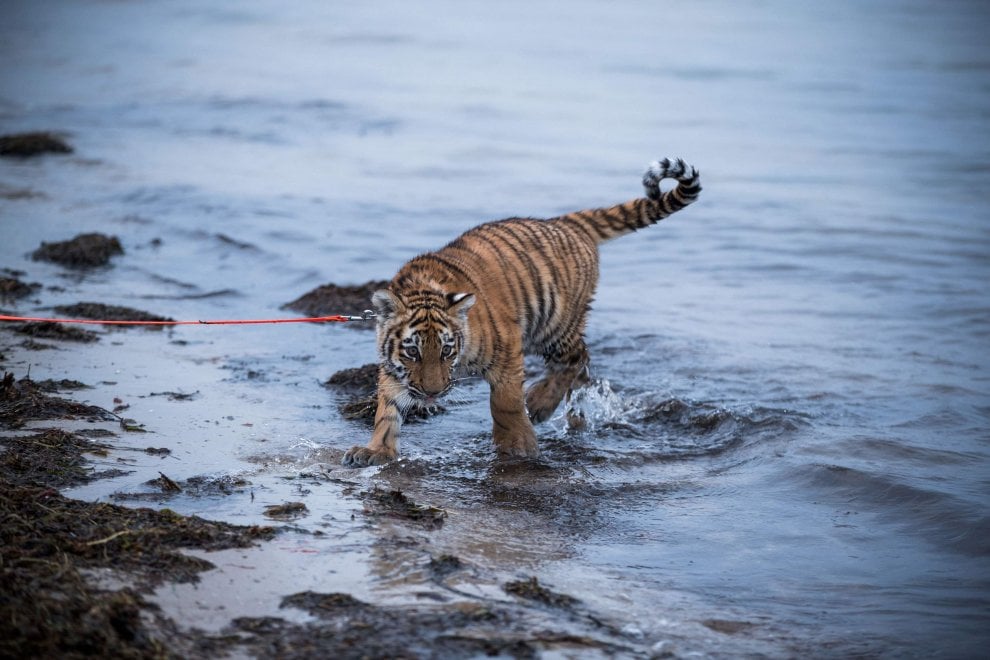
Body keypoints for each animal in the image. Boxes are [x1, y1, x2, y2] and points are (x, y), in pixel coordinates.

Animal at [342, 157, 701, 467]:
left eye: (446, 351)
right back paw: (575, 415)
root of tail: (564, 222)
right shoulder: (393, 368)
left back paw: (541, 403)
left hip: (554, 325)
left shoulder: (506, 350)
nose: (433, 393)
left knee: (577, 358)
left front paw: (517, 446)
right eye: (413, 352)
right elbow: (387, 410)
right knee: (582, 370)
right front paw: (377, 451)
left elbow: (505, 403)